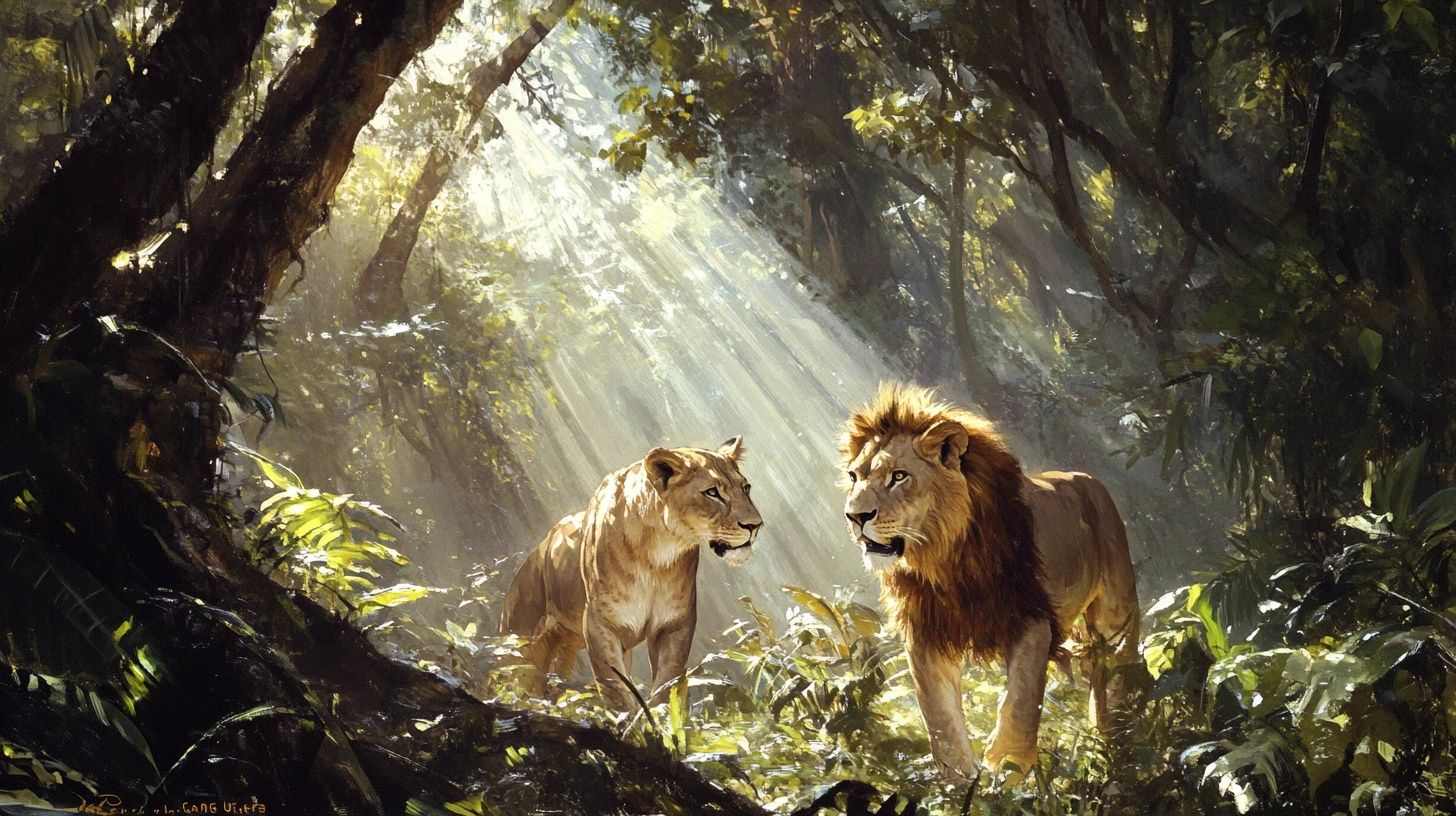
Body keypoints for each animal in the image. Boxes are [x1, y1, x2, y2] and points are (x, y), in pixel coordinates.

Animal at [500, 436, 762, 708]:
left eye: (746, 488)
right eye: (712, 492)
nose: (755, 526)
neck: (658, 554)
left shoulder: (675, 624)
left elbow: (666, 685)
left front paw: (661, 718)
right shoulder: (599, 625)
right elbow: (617, 691)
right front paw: (632, 720)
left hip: (568, 644)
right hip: (518, 641)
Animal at [840, 383, 1141, 778]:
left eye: (899, 476)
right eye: (854, 477)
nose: (854, 517)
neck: (944, 559)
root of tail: (1088, 479)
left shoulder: (1031, 619)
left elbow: (1020, 703)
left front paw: (1008, 771)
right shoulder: (925, 634)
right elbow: (941, 719)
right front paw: (959, 782)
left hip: (1115, 617)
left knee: (1116, 675)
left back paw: (1116, 747)